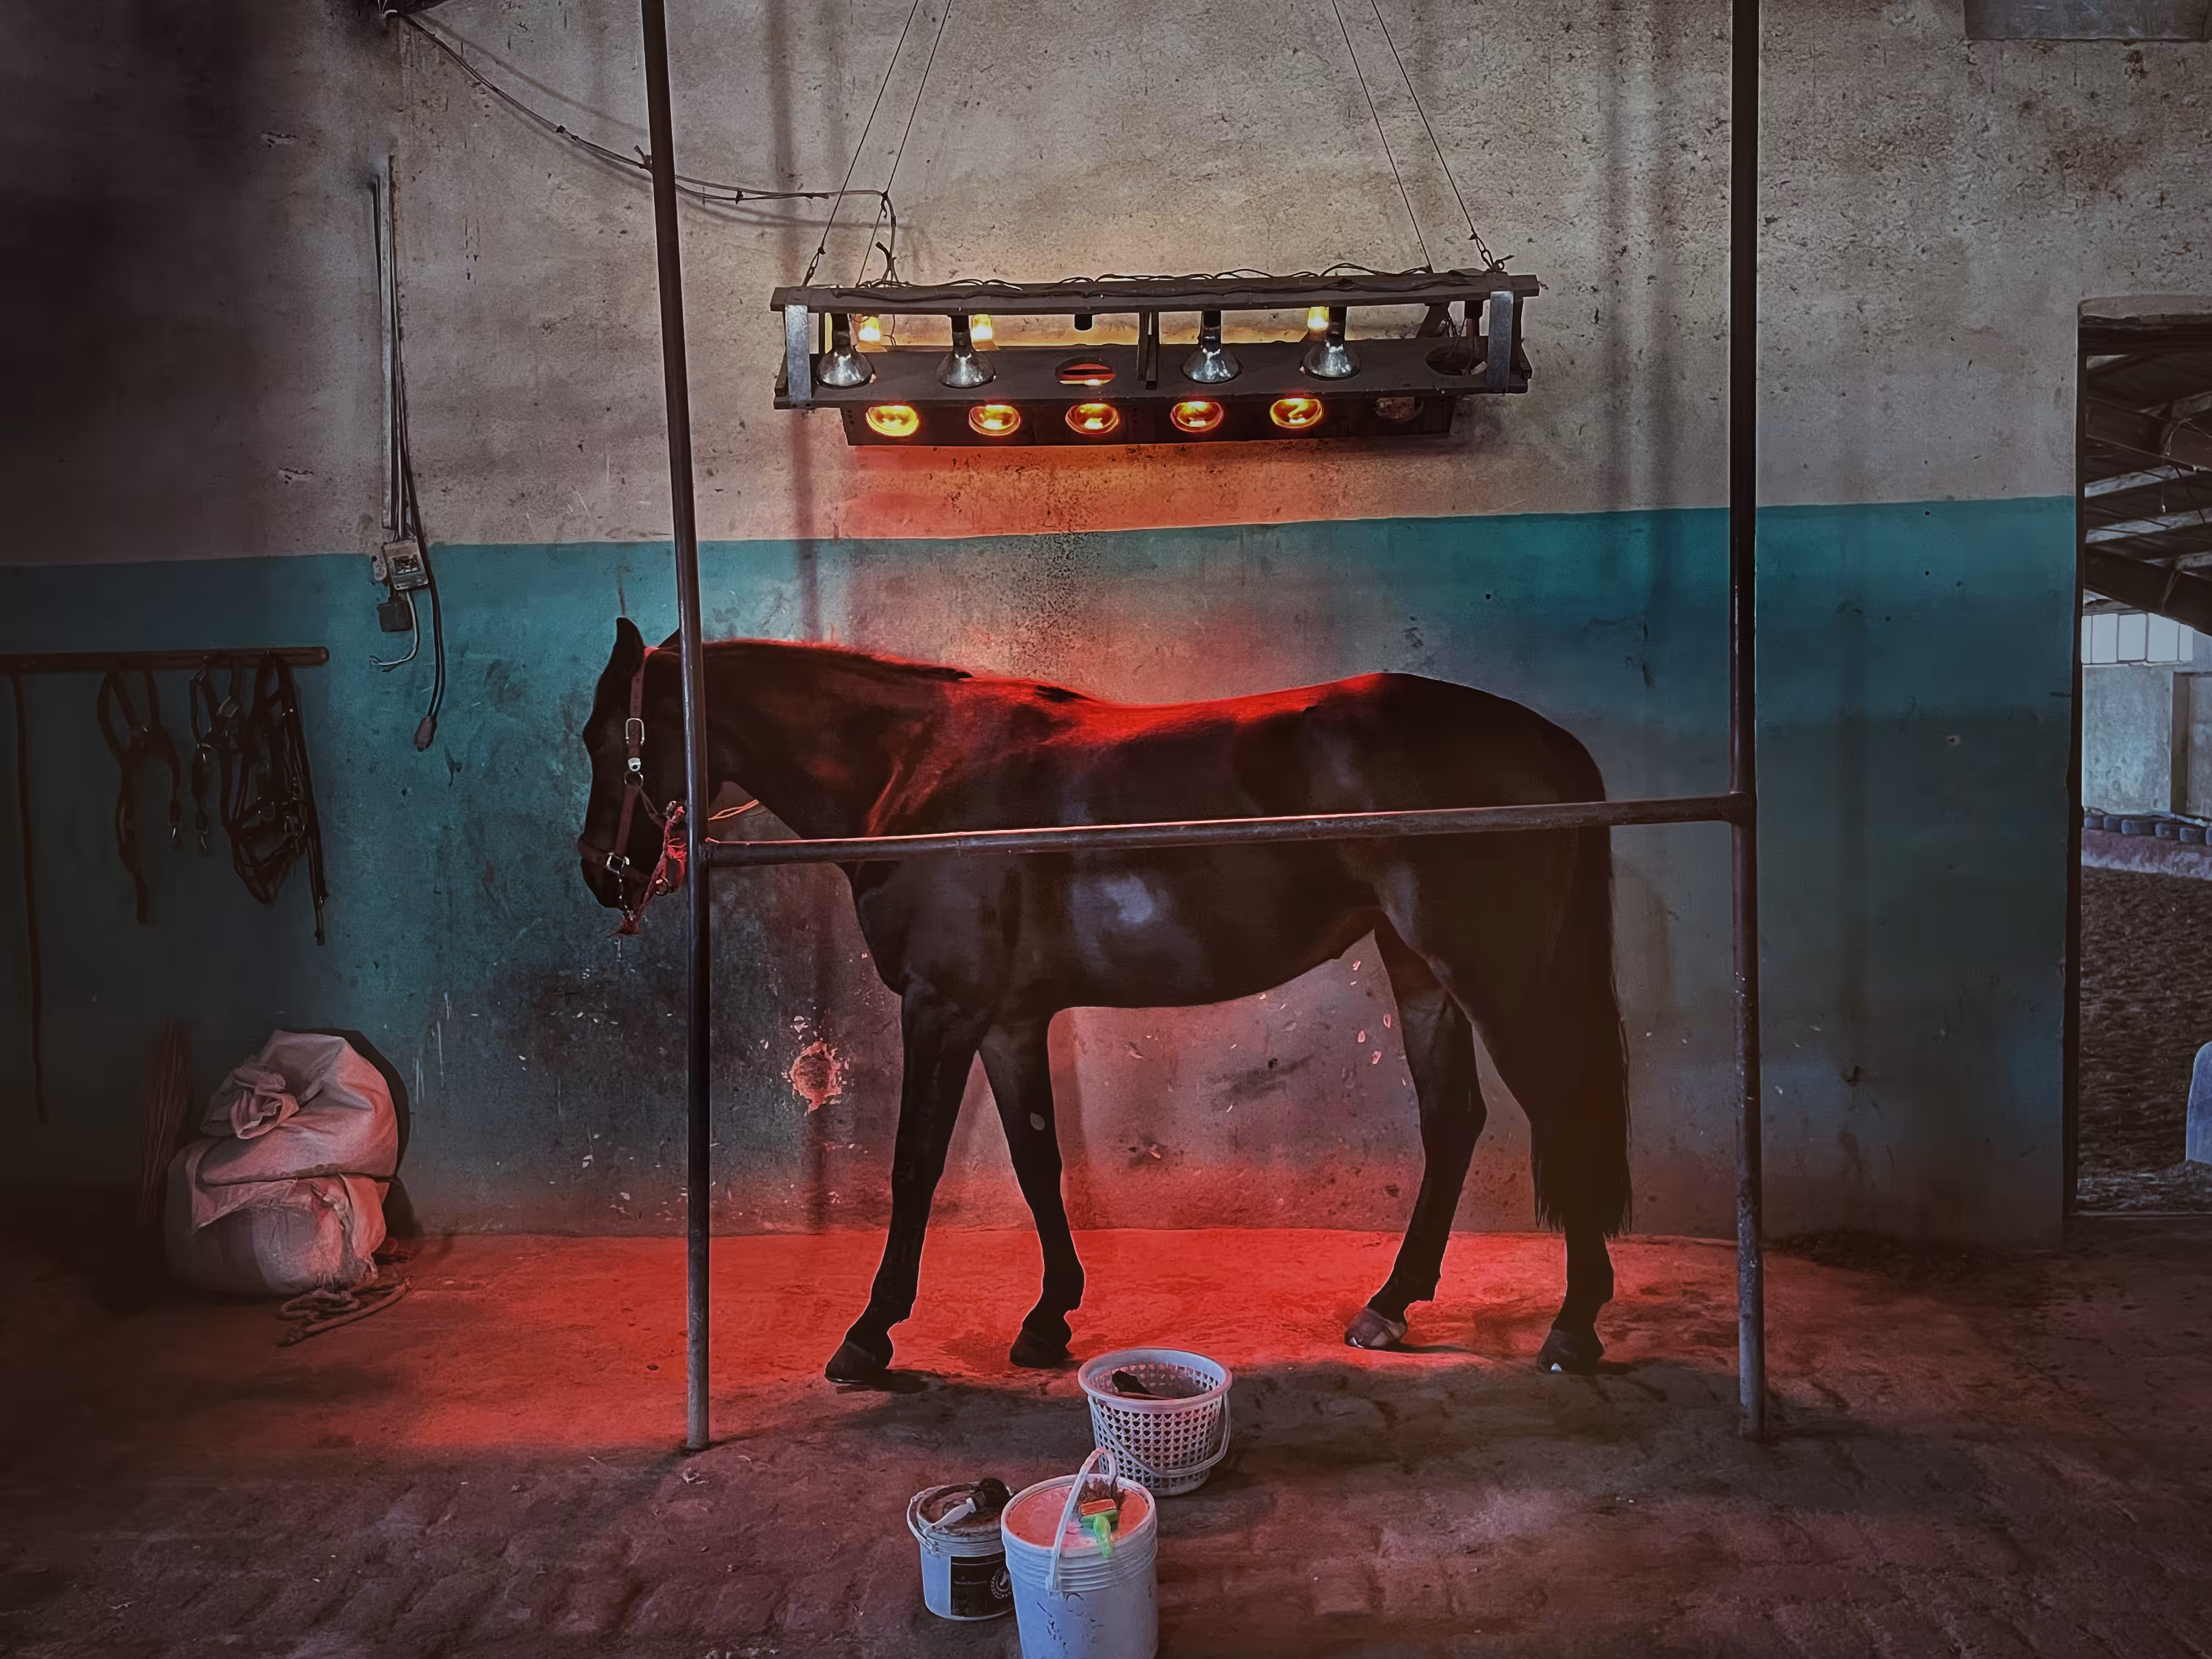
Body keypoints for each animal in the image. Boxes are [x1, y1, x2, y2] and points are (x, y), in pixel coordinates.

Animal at [575, 618, 1630, 1383]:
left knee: (1559, 1109)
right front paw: (1048, 1318)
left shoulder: (942, 1007)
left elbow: (915, 1165)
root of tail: (1543, 741)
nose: (601, 871)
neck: (912, 770)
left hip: (1491, 971)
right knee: (1452, 1118)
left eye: (603, 736)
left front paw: (870, 1332)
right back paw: (1393, 1303)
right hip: (1420, 972)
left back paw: (1573, 1326)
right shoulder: (1007, 1020)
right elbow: (1038, 1161)